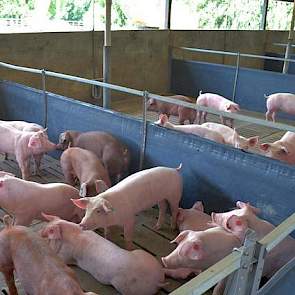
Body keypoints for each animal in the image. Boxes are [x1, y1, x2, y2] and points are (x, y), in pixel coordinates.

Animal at [40, 215, 168, 295]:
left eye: (47, 236)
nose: (39, 234)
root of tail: (157, 280)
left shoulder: (67, 255)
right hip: (143, 254)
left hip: (127, 288)